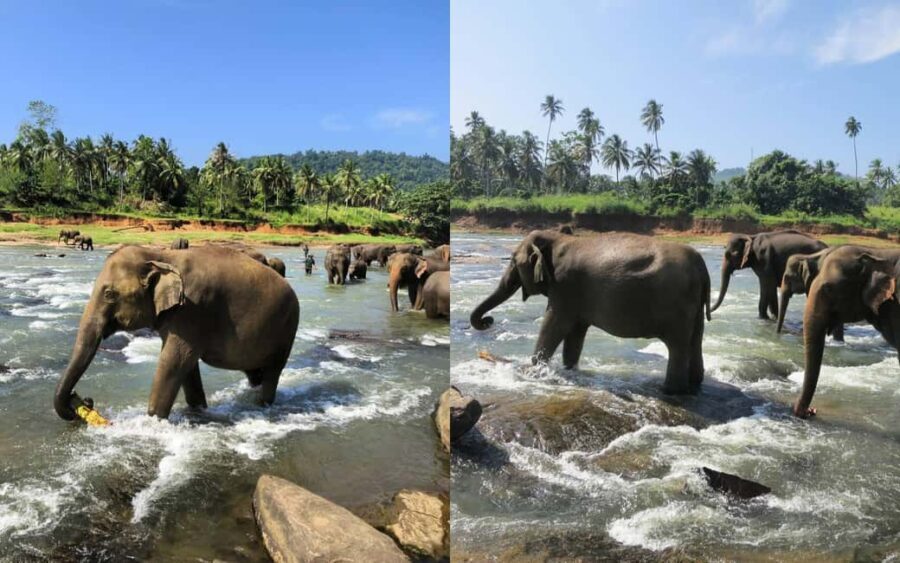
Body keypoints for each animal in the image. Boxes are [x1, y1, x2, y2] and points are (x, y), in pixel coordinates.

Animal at [54, 244, 300, 420]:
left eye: (109, 294)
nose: (83, 400)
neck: (162, 256)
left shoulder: (193, 308)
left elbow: (174, 361)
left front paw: (153, 421)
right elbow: (187, 365)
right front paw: (198, 411)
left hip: (287, 328)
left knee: (273, 371)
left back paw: (261, 405)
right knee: (254, 371)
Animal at [470, 229, 712, 393]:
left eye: (512, 260)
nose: (488, 321)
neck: (557, 238)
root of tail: (701, 265)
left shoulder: (565, 286)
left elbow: (554, 324)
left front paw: (531, 372)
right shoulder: (573, 296)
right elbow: (575, 333)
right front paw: (569, 370)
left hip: (678, 305)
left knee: (678, 345)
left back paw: (670, 390)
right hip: (695, 305)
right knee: (695, 339)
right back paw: (694, 383)